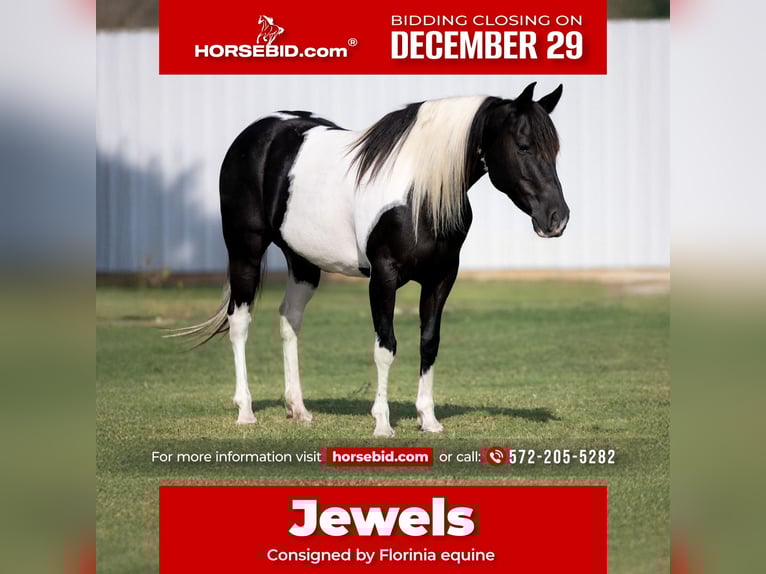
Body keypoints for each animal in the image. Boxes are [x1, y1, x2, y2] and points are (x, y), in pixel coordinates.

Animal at [171, 82, 569, 437]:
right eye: (523, 145)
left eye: (555, 149)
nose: (557, 218)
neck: (417, 192)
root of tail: (257, 132)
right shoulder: (383, 278)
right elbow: (386, 347)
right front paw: (382, 423)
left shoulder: (441, 277)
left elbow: (429, 343)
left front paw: (428, 420)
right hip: (245, 250)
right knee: (239, 322)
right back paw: (246, 411)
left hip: (303, 261)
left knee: (290, 319)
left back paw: (298, 409)